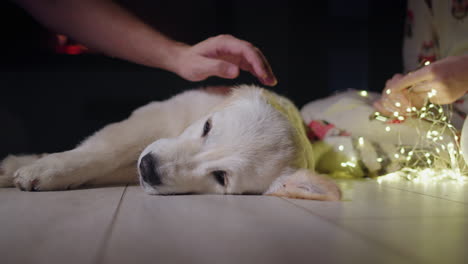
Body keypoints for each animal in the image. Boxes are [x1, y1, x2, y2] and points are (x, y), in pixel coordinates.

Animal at [0, 85, 340, 201]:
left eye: (221, 177)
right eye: (206, 127)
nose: (148, 168)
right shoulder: (152, 118)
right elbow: (101, 150)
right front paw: (46, 168)